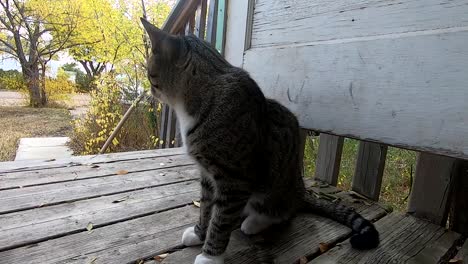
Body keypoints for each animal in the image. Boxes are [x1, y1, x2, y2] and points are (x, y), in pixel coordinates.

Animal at [141, 19, 378, 264]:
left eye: (150, 75)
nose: (149, 90)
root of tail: (300, 192)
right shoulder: (207, 175)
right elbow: (206, 207)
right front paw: (199, 233)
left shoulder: (234, 180)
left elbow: (220, 222)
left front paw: (210, 256)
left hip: (271, 190)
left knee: (280, 212)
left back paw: (253, 223)